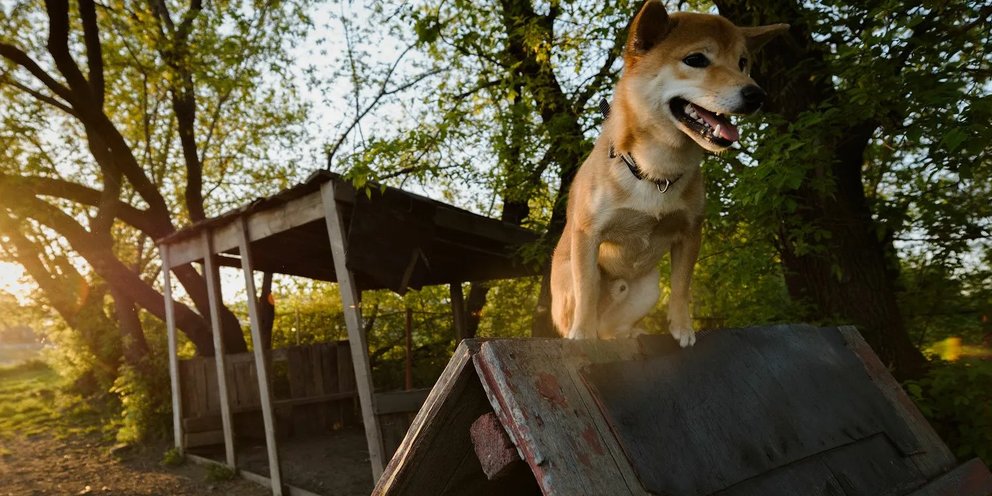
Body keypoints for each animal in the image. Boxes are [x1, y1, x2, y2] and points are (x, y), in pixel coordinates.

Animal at [548, 0, 788, 344]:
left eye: (743, 63)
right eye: (696, 60)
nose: (756, 94)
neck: (655, 168)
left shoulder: (690, 232)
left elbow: (681, 286)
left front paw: (682, 326)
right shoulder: (588, 234)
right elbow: (588, 289)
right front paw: (581, 334)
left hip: (646, 290)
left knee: (615, 327)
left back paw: (631, 332)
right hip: (568, 283)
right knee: (587, 305)